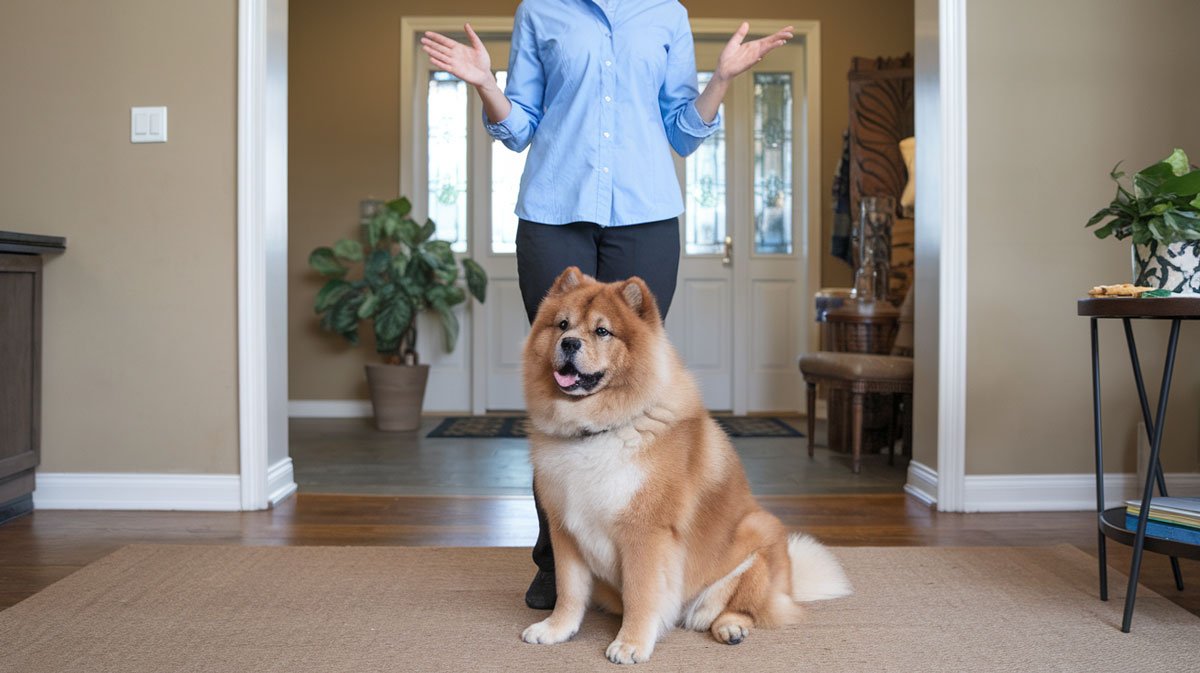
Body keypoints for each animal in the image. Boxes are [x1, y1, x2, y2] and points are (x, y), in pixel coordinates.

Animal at [520, 266, 849, 662]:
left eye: (602, 331)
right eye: (562, 324)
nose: (569, 343)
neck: (596, 430)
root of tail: (790, 584)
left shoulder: (646, 533)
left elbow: (642, 594)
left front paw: (630, 644)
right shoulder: (565, 530)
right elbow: (569, 592)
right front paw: (555, 630)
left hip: (757, 534)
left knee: (742, 608)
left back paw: (730, 628)